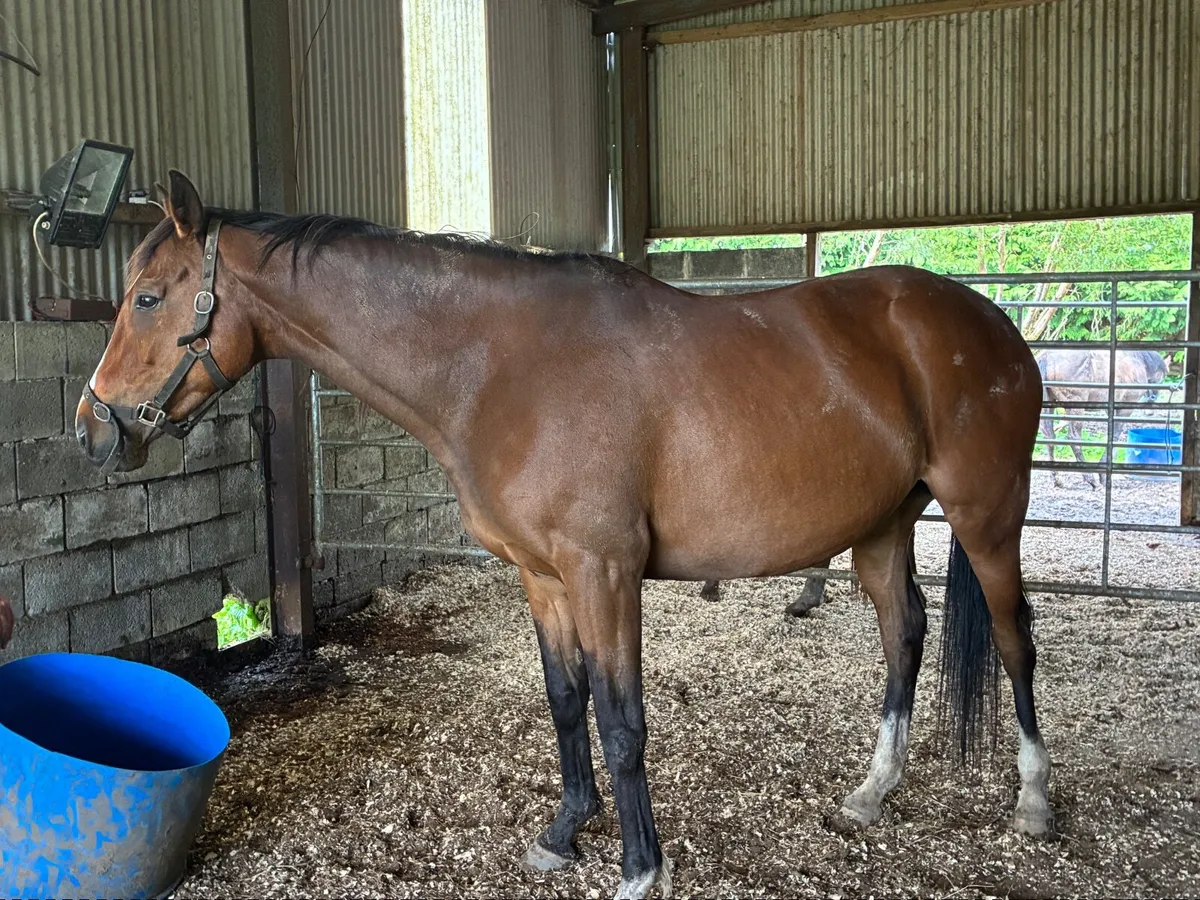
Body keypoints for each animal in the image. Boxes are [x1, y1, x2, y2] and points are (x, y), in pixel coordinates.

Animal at [75, 170, 1052, 899]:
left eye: (149, 297)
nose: (93, 428)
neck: (498, 366)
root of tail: (990, 324)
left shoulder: (603, 572)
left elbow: (622, 720)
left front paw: (640, 866)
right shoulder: (542, 578)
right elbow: (565, 700)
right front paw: (563, 831)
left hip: (988, 516)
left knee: (1014, 639)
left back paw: (1034, 801)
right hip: (882, 527)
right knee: (905, 632)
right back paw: (872, 792)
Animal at [1037, 348, 1168, 488]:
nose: (1152, 400)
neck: (1139, 361)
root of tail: (1045, 358)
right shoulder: (1125, 408)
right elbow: (1114, 436)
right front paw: (1103, 476)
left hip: (1049, 404)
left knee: (1049, 437)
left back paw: (1057, 479)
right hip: (1075, 407)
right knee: (1073, 437)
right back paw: (1090, 479)